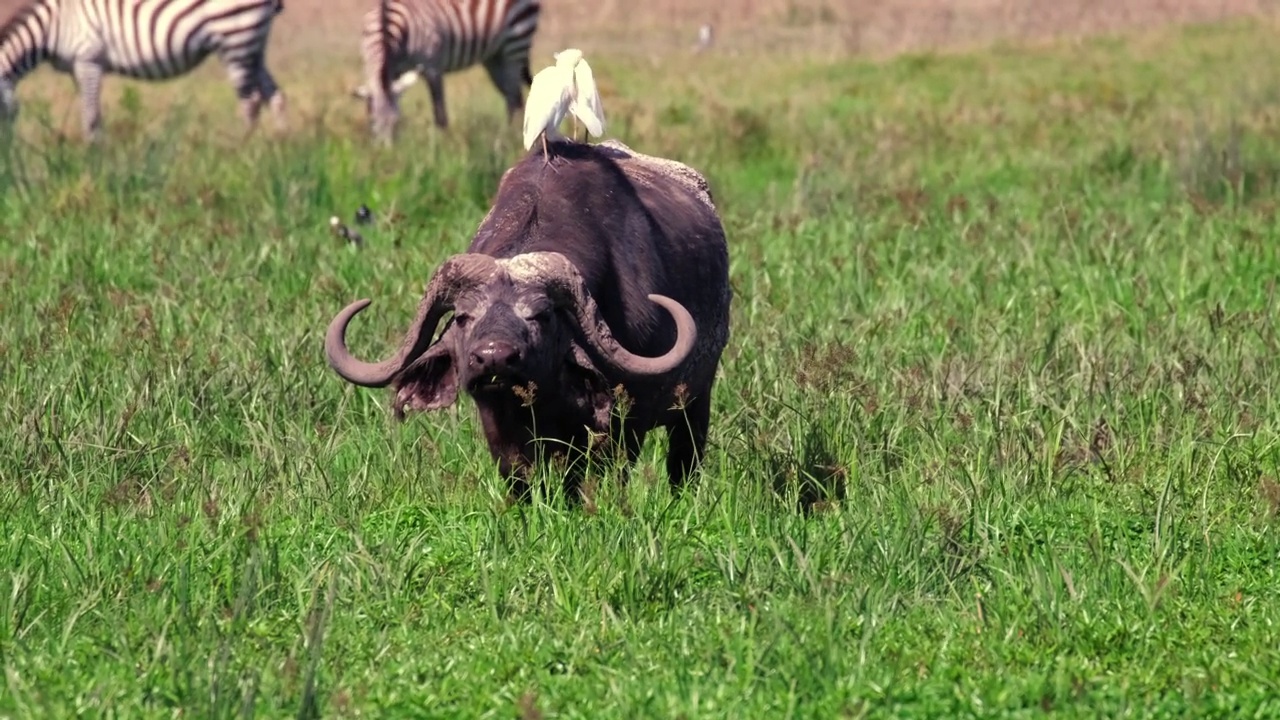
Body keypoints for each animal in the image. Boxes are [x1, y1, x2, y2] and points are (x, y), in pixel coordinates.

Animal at [0, 0, 285, 139]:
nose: (9, 155)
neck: (51, 26)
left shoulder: (88, 60)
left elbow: (91, 117)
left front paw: (95, 161)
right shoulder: (76, 68)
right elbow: (90, 114)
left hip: (235, 39)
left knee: (251, 101)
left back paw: (242, 151)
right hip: (252, 44)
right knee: (275, 95)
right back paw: (279, 148)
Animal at [325, 137, 732, 497]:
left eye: (541, 315)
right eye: (463, 317)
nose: (494, 358)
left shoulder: (623, 422)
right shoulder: (500, 428)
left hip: (696, 402)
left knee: (683, 465)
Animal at [353, 0, 542, 141]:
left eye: (397, 122)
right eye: (372, 122)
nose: (387, 155)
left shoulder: (432, 67)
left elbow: (440, 115)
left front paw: (442, 148)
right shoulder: (391, 71)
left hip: (515, 46)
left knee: (514, 98)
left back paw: (509, 140)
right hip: (495, 57)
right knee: (514, 99)